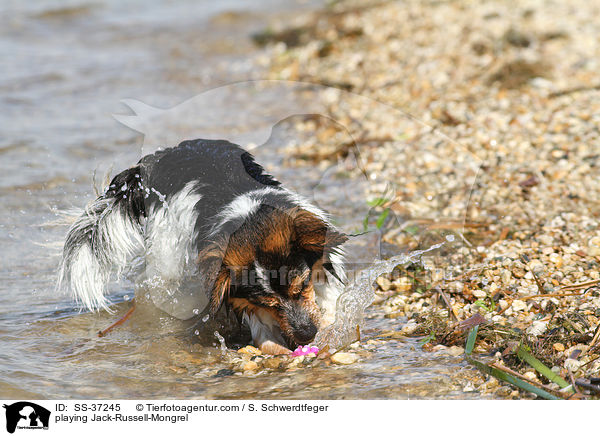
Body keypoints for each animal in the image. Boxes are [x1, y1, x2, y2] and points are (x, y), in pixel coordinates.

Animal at [57, 139, 346, 354]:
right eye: (268, 304)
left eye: (301, 287)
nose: (307, 334)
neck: (249, 217)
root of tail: (154, 160)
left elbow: (328, 302)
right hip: (168, 251)